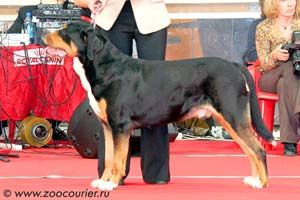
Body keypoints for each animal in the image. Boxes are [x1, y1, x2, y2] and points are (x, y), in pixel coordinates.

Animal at [44, 21, 276, 190]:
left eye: (65, 32)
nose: (44, 36)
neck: (105, 67)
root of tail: (235, 65)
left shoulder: (120, 126)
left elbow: (118, 160)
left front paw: (111, 184)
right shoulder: (108, 127)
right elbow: (109, 158)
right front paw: (104, 181)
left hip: (234, 116)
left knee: (258, 150)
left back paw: (262, 184)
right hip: (230, 119)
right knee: (249, 151)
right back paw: (254, 180)